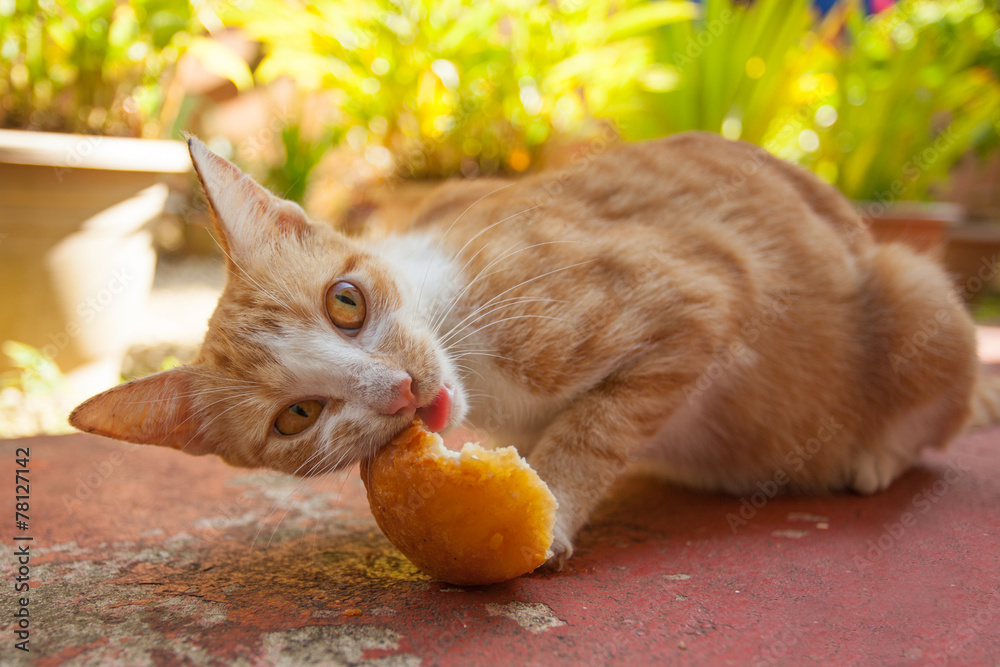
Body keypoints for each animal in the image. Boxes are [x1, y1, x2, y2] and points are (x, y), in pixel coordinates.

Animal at [70, 132, 1000, 568]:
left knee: (946, 409)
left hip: (917, 292)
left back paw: (874, 453)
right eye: (297, 415)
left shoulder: (704, 291)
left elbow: (598, 422)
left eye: (345, 302)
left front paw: (551, 503)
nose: (398, 387)